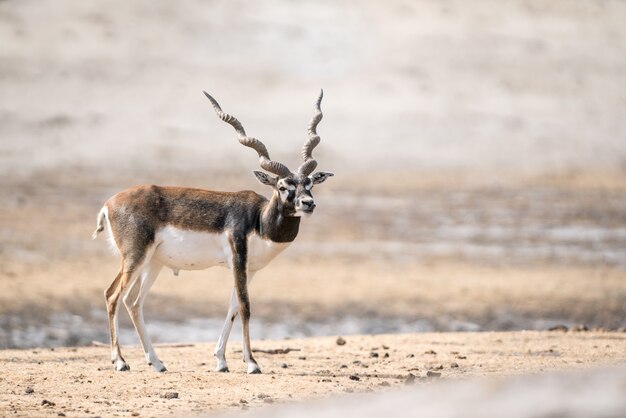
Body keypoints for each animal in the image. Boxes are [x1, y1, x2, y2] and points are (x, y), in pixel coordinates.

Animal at [92, 90, 332, 372]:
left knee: (133, 301)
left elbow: (233, 308)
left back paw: (157, 363)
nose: (308, 203)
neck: (258, 220)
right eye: (283, 186)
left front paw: (221, 361)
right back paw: (120, 362)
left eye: (310, 184)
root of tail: (109, 203)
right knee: (112, 296)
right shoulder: (238, 260)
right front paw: (252, 363)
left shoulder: (249, 269)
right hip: (134, 257)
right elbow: (246, 306)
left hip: (152, 263)